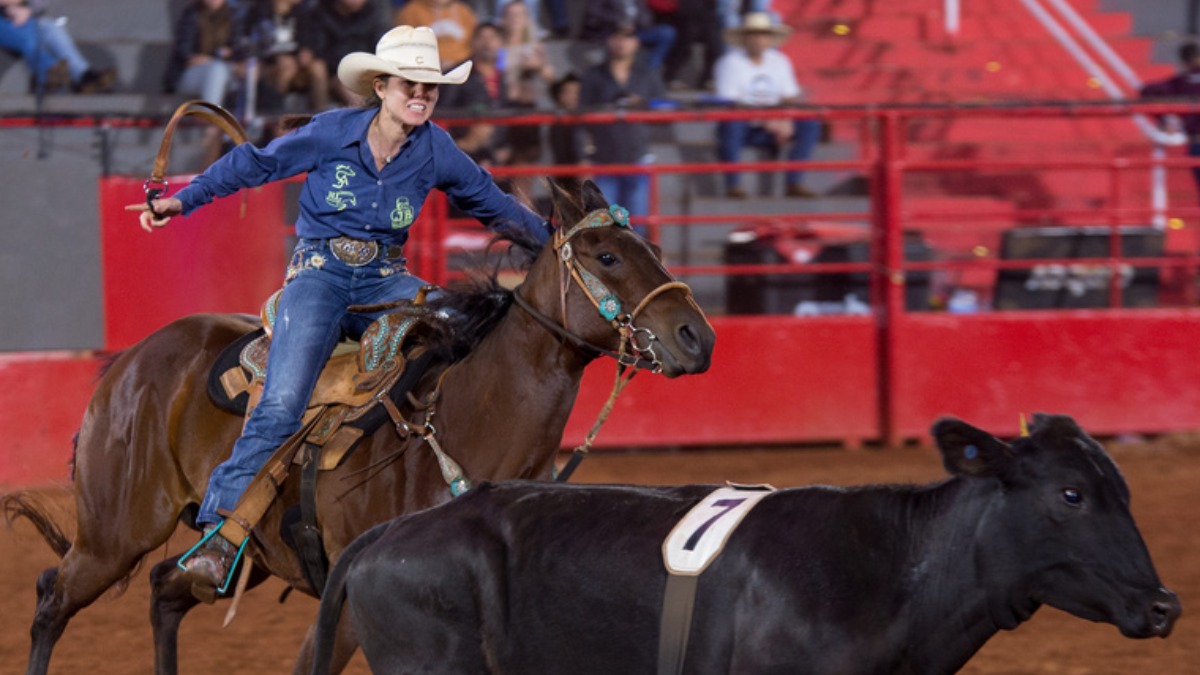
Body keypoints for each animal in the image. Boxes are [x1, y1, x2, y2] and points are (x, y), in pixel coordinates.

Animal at [2, 180, 710, 672]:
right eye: (608, 255)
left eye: (655, 248)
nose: (697, 337)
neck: (466, 422)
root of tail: (128, 361)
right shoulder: (349, 610)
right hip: (113, 534)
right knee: (51, 600)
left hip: (229, 556)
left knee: (165, 591)